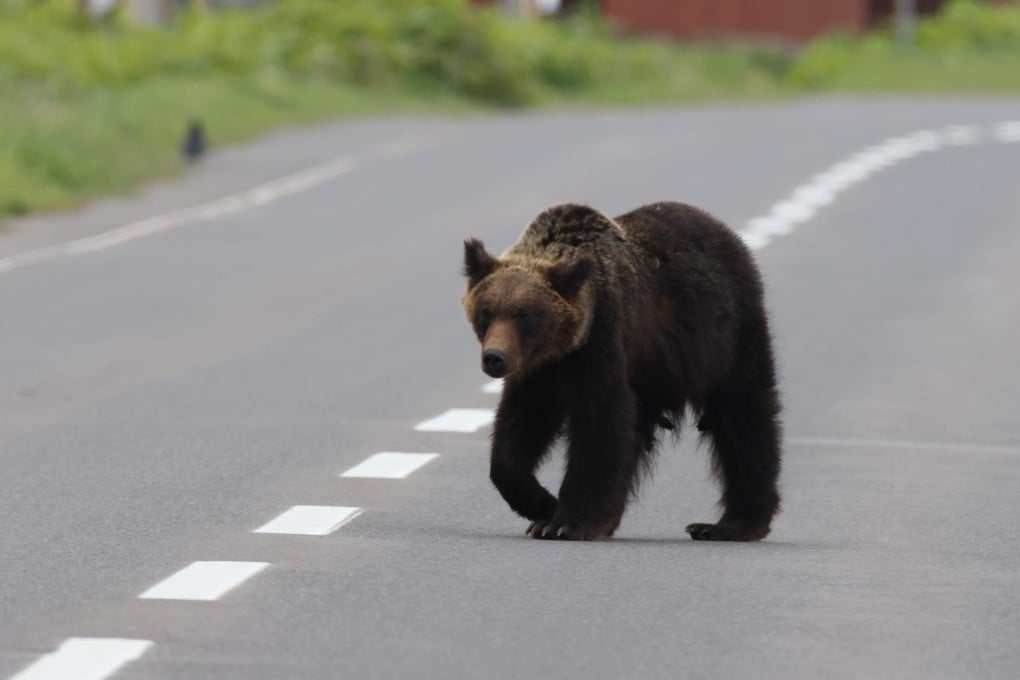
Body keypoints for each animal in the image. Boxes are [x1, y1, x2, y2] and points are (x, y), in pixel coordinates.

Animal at [461, 202, 782, 541]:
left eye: (524, 315)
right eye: (486, 312)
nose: (495, 358)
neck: (563, 348)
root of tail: (725, 232)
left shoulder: (603, 340)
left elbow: (601, 422)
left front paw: (565, 522)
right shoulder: (539, 370)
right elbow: (520, 428)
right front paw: (542, 506)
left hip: (727, 337)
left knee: (744, 417)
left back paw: (730, 523)